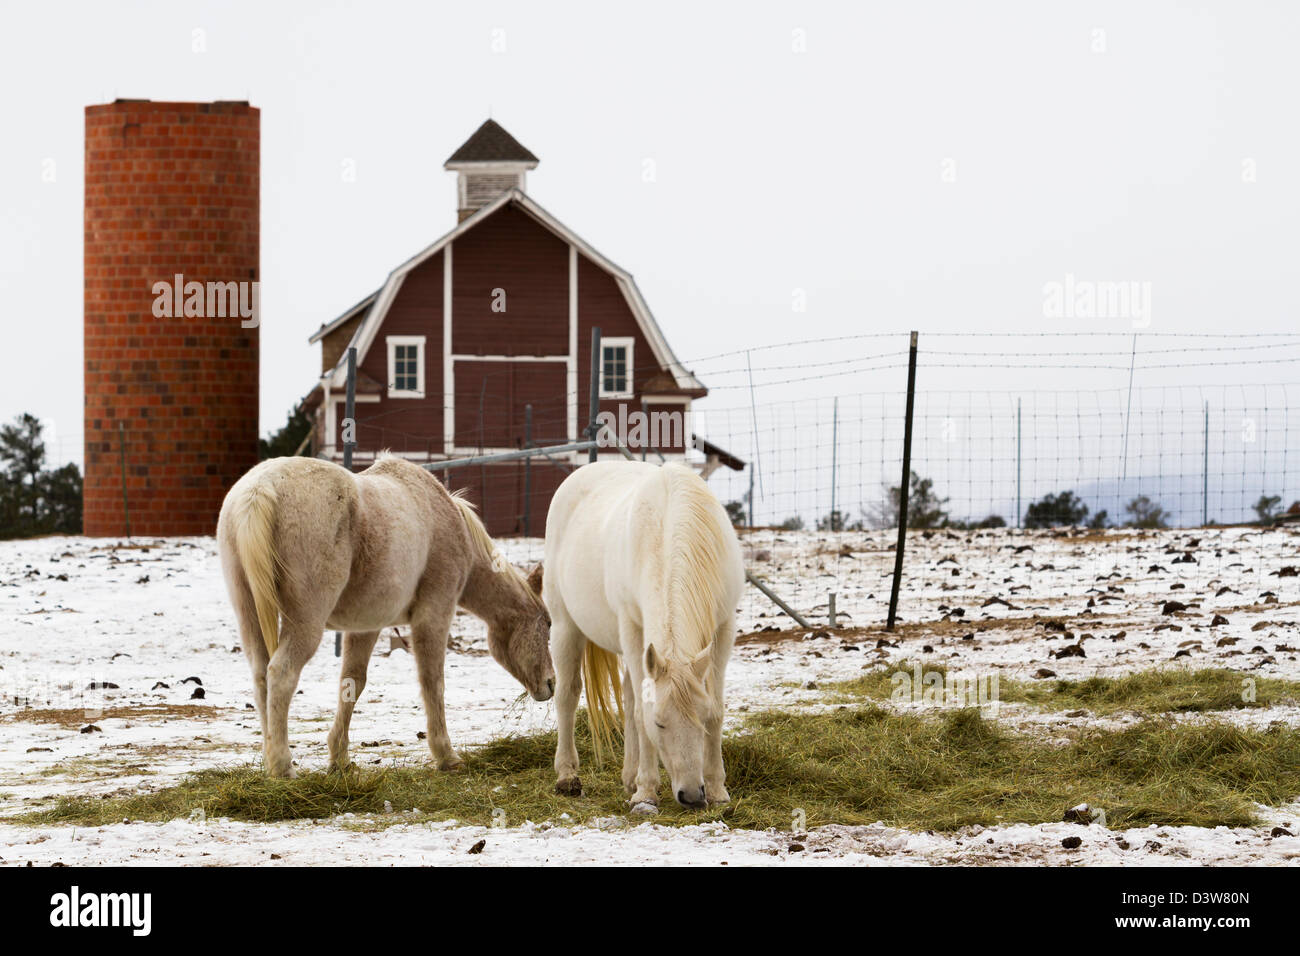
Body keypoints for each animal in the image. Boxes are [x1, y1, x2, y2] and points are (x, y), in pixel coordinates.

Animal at [216, 454, 554, 778]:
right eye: (548, 625)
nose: (551, 684)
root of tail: (260, 488)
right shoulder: (434, 614)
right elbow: (433, 682)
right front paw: (446, 756)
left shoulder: (364, 626)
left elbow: (353, 683)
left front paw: (340, 760)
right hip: (305, 624)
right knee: (281, 674)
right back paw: (282, 766)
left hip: (250, 616)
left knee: (261, 676)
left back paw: (271, 756)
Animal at [542, 460, 744, 811]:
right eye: (660, 722)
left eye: (701, 718)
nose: (692, 796)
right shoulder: (632, 628)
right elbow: (638, 714)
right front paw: (646, 792)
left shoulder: (723, 628)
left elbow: (717, 708)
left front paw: (718, 789)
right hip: (566, 626)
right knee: (567, 695)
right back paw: (567, 775)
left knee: (628, 692)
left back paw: (628, 776)